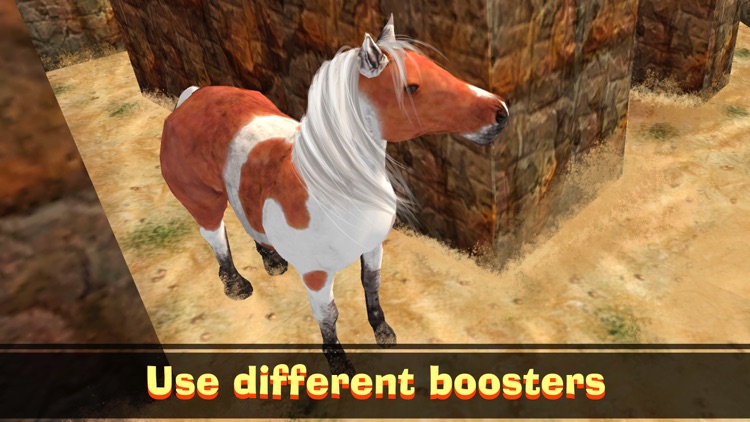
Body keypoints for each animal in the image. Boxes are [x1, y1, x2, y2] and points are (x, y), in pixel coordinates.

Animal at [160, 15, 509, 375]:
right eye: (411, 87)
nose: (500, 113)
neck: (333, 188)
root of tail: (192, 97)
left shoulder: (373, 247)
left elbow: (372, 285)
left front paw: (383, 332)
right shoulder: (316, 276)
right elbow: (329, 315)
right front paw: (339, 364)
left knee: (247, 218)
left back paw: (272, 261)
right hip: (204, 200)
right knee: (215, 235)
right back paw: (236, 285)